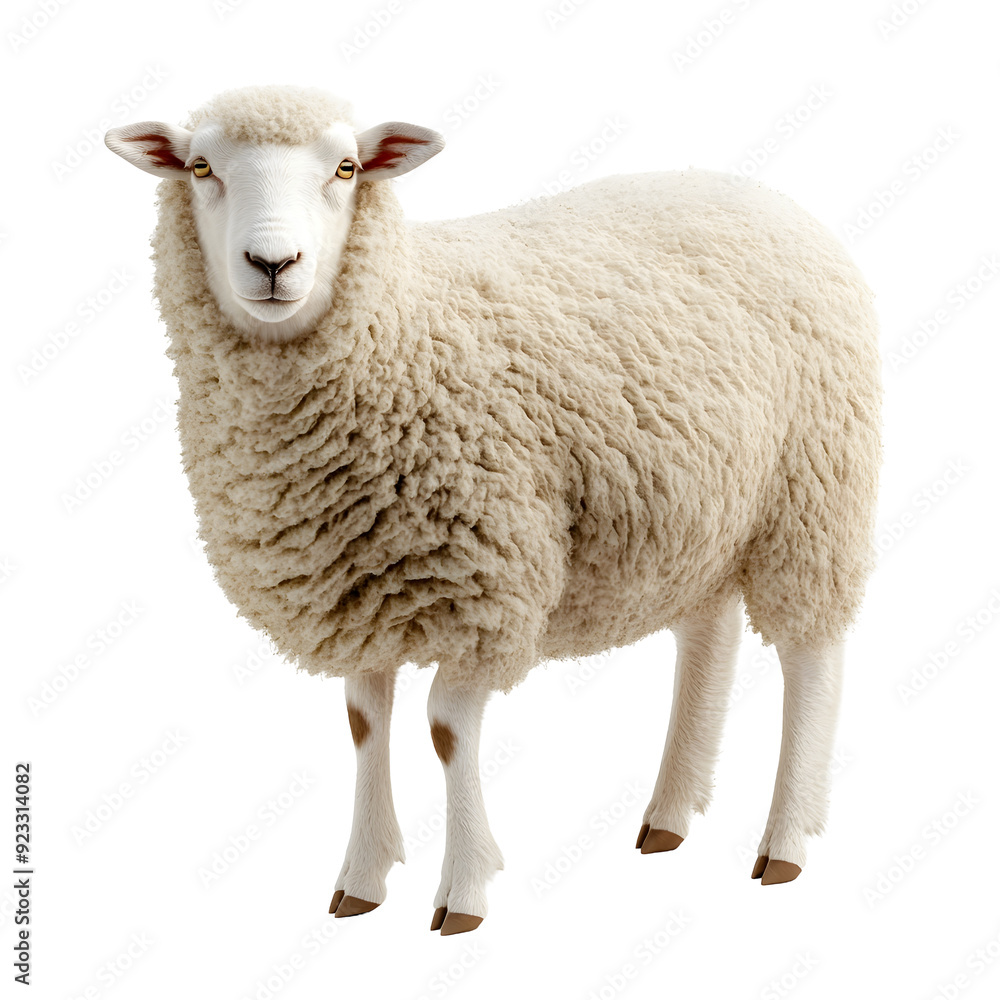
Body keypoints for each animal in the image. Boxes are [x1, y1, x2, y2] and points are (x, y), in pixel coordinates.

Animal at [105, 84, 881, 935]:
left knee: (812, 657)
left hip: (813, 491)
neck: (404, 327)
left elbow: (447, 730)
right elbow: (364, 723)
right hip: (698, 506)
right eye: (199, 167)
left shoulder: (486, 580)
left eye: (346, 168)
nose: (273, 264)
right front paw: (362, 878)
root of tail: (763, 194)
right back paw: (671, 814)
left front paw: (464, 891)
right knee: (708, 634)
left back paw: (786, 842)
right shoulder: (358, 581)